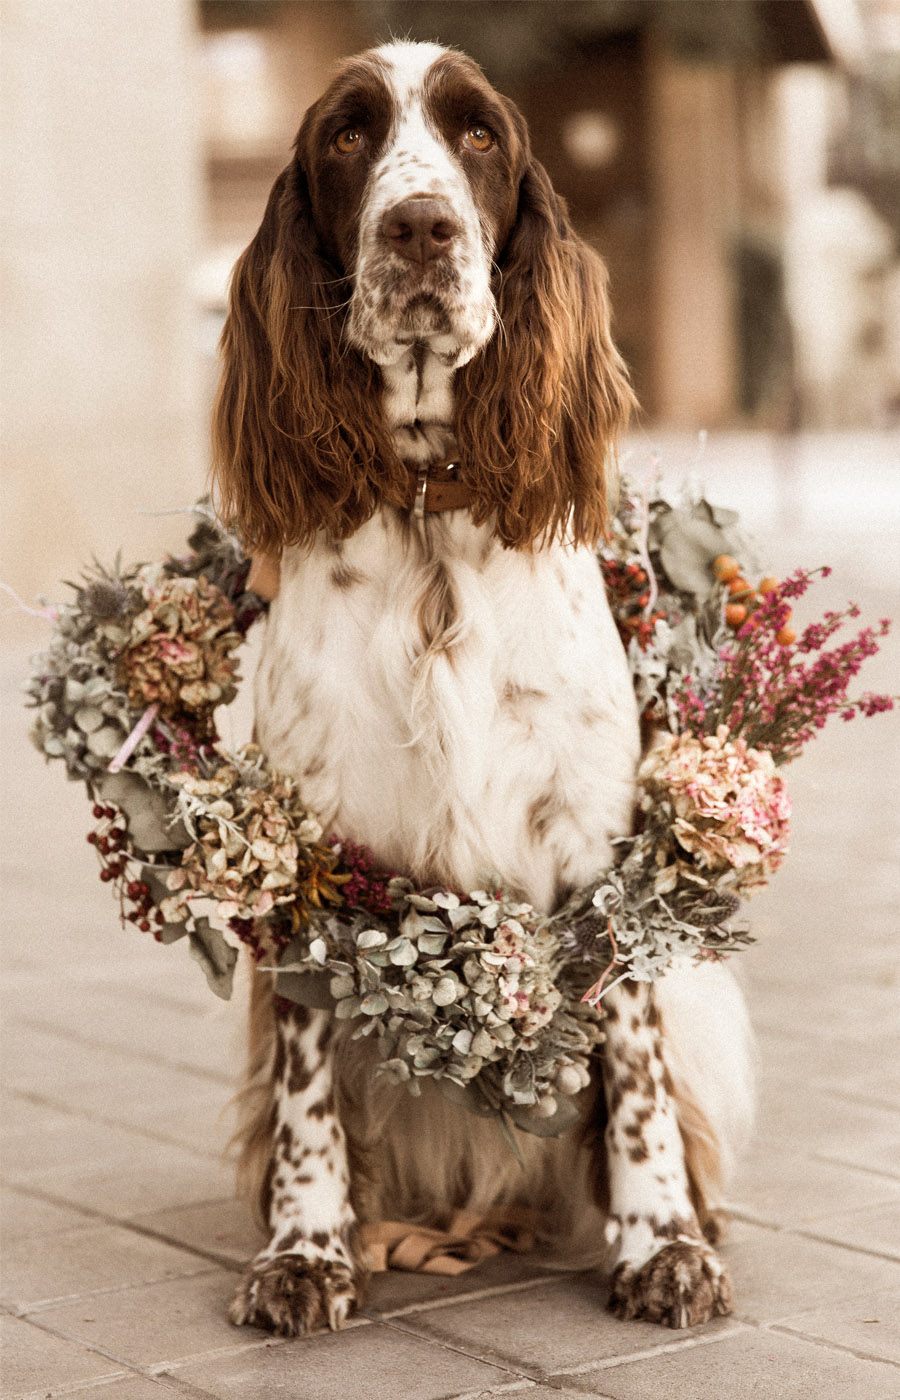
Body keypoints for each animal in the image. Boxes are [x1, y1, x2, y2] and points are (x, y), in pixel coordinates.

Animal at [211, 38, 755, 1338]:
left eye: (478, 136)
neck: (426, 506)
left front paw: (661, 1242)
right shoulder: (306, 848)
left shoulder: (598, 841)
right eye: (349, 135)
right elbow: (308, 1085)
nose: (419, 228)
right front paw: (305, 1252)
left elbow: (635, 1073)